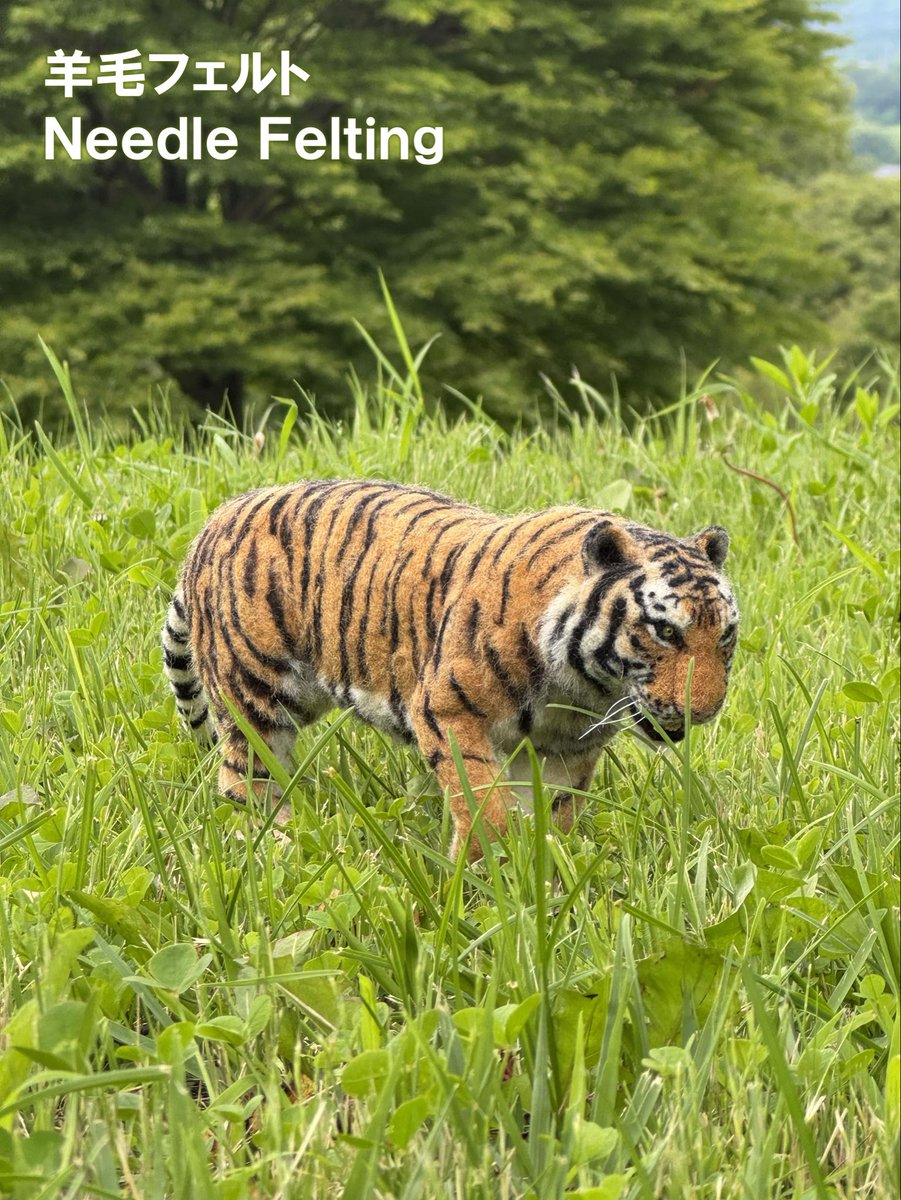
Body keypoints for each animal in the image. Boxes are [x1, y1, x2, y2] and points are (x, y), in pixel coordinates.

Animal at [162, 479, 739, 861]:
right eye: (666, 632)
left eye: (725, 637)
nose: (705, 711)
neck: (580, 686)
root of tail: (212, 523)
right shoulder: (447, 710)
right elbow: (485, 805)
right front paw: (484, 875)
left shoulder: (567, 748)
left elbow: (552, 815)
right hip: (256, 698)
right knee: (243, 783)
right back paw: (276, 849)